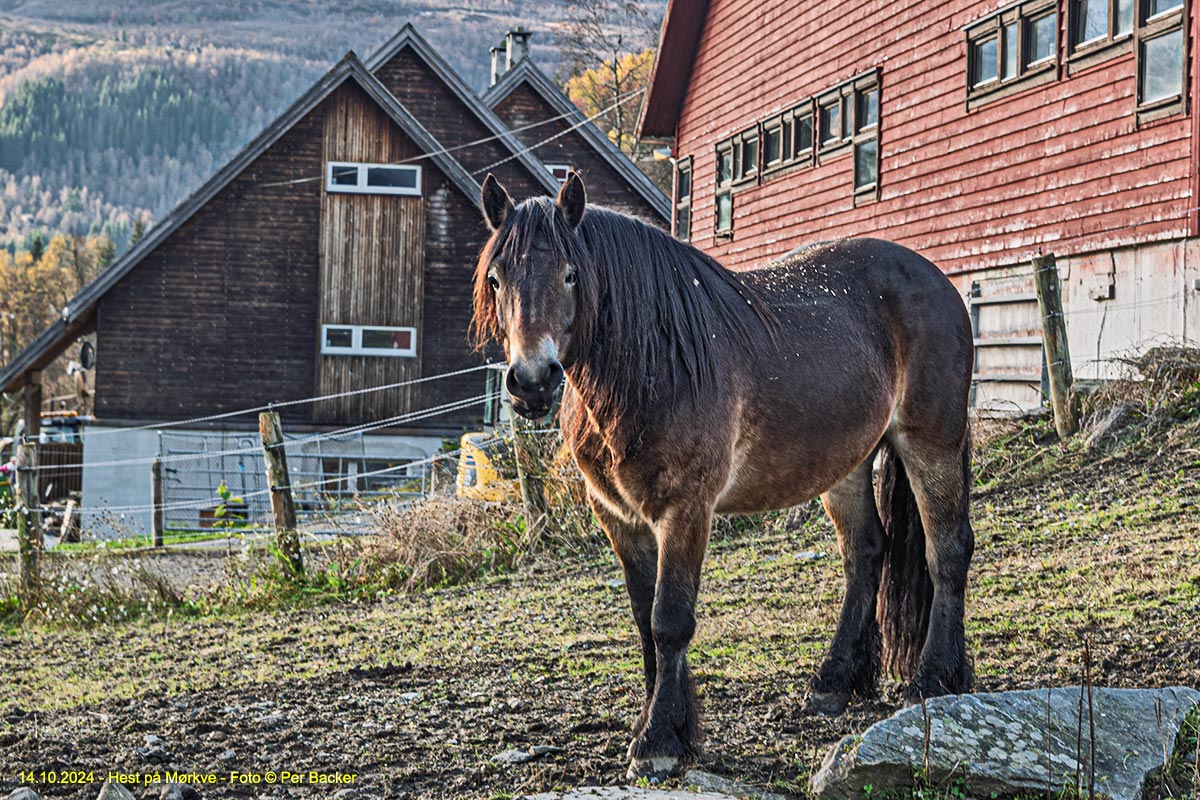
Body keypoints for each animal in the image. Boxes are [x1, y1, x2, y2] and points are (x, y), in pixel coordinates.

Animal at [470, 172, 974, 777]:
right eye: (496, 279)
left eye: (571, 274)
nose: (530, 381)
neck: (655, 363)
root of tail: (940, 282)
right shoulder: (620, 517)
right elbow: (644, 621)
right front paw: (666, 727)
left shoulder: (686, 510)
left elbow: (670, 619)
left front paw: (659, 742)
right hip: (847, 465)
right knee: (866, 553)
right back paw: (834, 682)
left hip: (930, 444)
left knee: (948, 549)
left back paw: (935, 680)